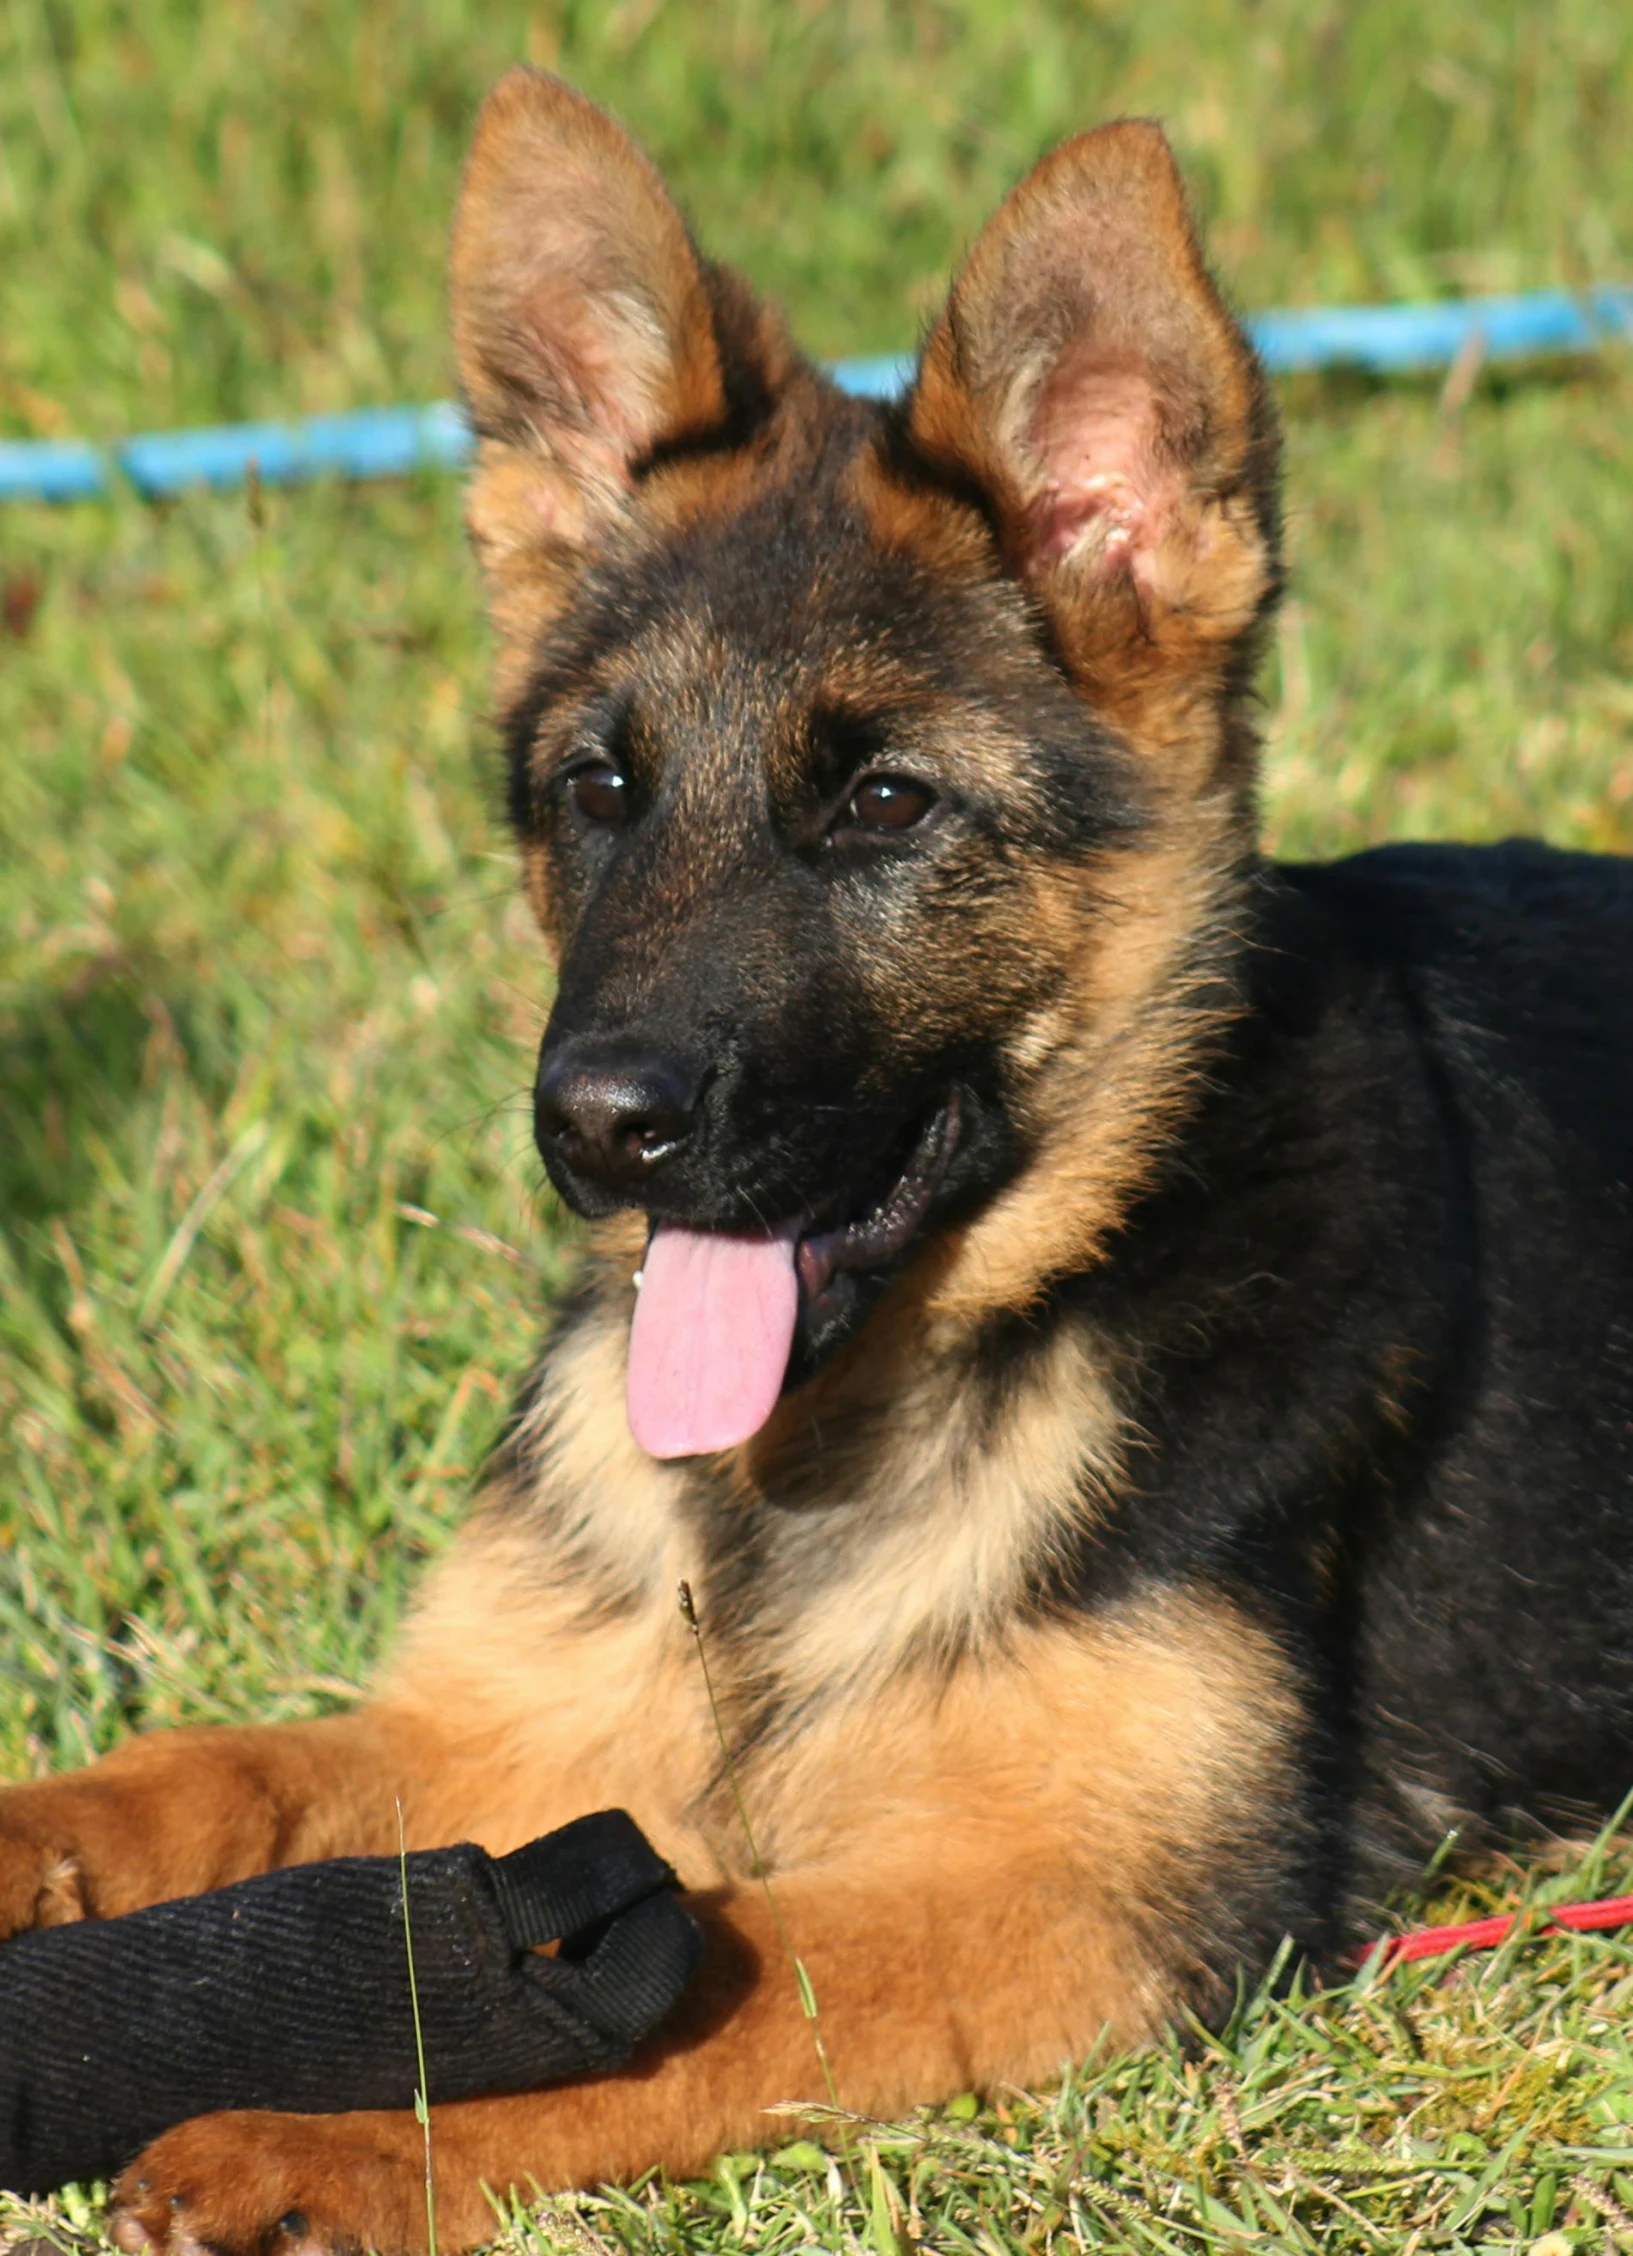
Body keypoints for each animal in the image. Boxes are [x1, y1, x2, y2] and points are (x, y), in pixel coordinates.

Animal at [9, 70, 1633, 2256]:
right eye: (597, 789)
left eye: (881, 805)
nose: (593, 1126)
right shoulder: (495, 1726)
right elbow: (201, 1778)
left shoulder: (1067, 1898)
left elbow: (703, 1975)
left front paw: (315, 2143)